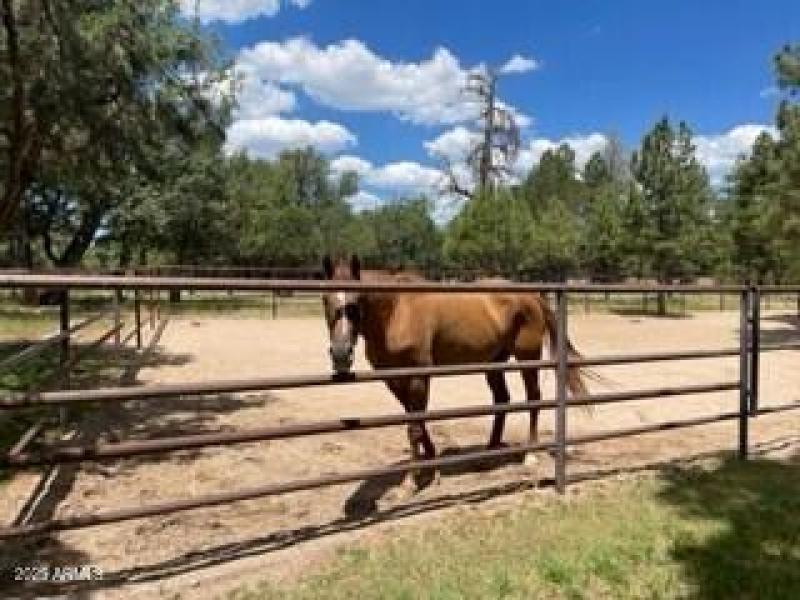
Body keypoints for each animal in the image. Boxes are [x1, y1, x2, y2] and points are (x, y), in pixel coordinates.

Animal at [320, 254, 589, 493]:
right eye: (324, 298)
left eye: (357, 301)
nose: (341, 354)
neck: (397, 311)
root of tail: (532, 295)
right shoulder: (393, 379)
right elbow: (416, 421)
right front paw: (432, 467)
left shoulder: (418, 376)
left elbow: (414, 427)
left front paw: (409, 483)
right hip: (494, 362)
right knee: (502, 399)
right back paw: (489, 452)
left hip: (527, 356)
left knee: (533, 397)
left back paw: (529, 454)